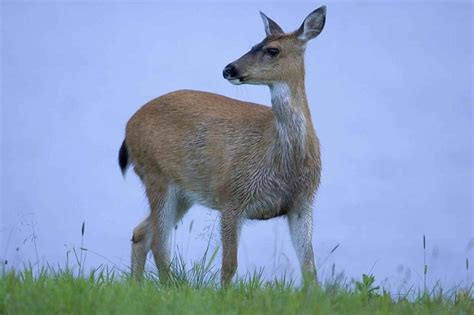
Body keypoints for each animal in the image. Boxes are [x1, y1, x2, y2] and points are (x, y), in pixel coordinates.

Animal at [118, 5, 326, 286]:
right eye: (254, 44)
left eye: (272, 50)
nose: (229, 69)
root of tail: (129, 126)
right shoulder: (230, 196)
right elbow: (229, 266)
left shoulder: (303, 203)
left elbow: (309, 268)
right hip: (156, 175)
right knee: (159, 243)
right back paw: (168, 288)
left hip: (183, 192)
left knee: (142, 233)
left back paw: (138, 286)